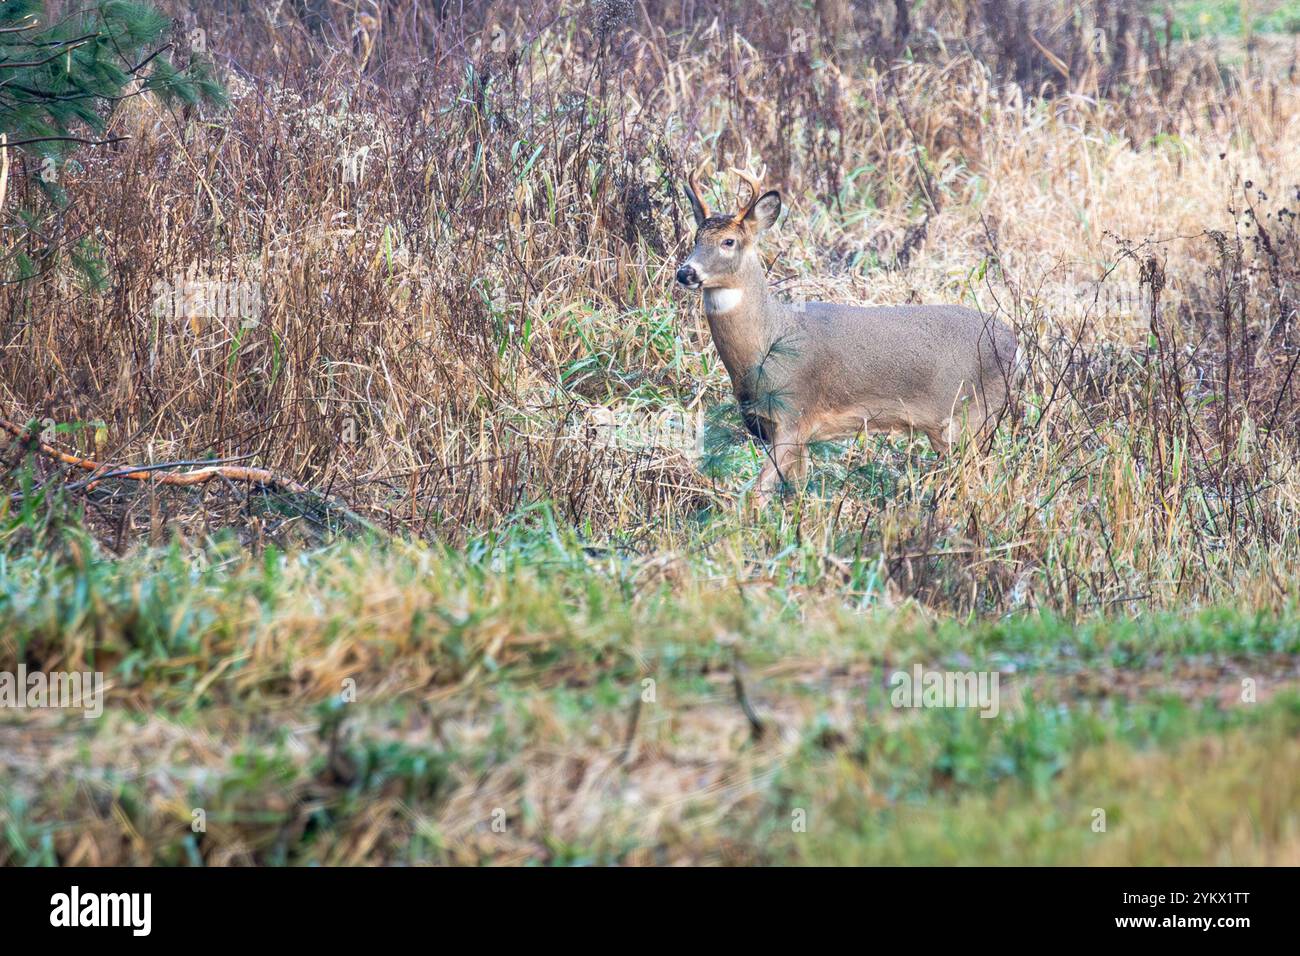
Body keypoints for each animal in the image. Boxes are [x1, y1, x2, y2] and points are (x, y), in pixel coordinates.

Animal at [676, 163, 1019, 504]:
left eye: (729, 241)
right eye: (695, 238)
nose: (685, 272)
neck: (769, 342)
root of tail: (1015, 344)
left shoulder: (794, 415)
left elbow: (757, 494)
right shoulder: (778, 429)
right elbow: (797, 493)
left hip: (974, 415)